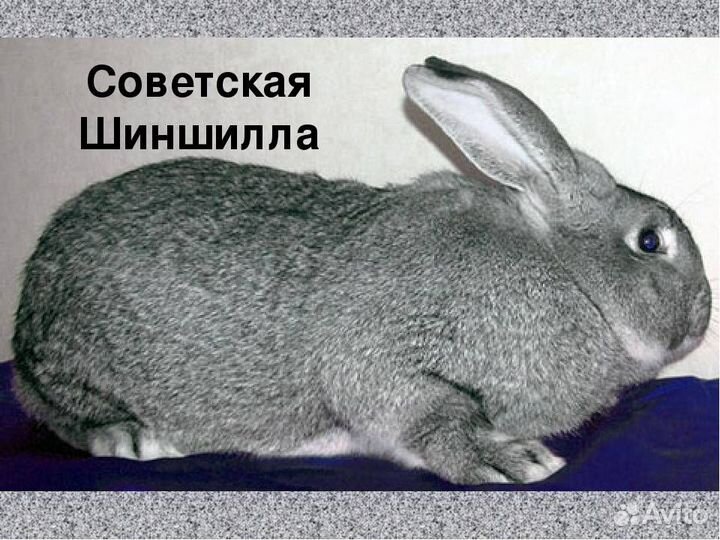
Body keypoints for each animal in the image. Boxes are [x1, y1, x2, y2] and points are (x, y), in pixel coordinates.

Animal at [12, 56, 712, 484]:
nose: (704, 314)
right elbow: (433, 414)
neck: (571, 277)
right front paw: (513, 460)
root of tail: (26, 313)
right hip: (72, 366)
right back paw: (134, 439)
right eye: (651, 240)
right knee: (64, 413)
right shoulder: (384, 361)